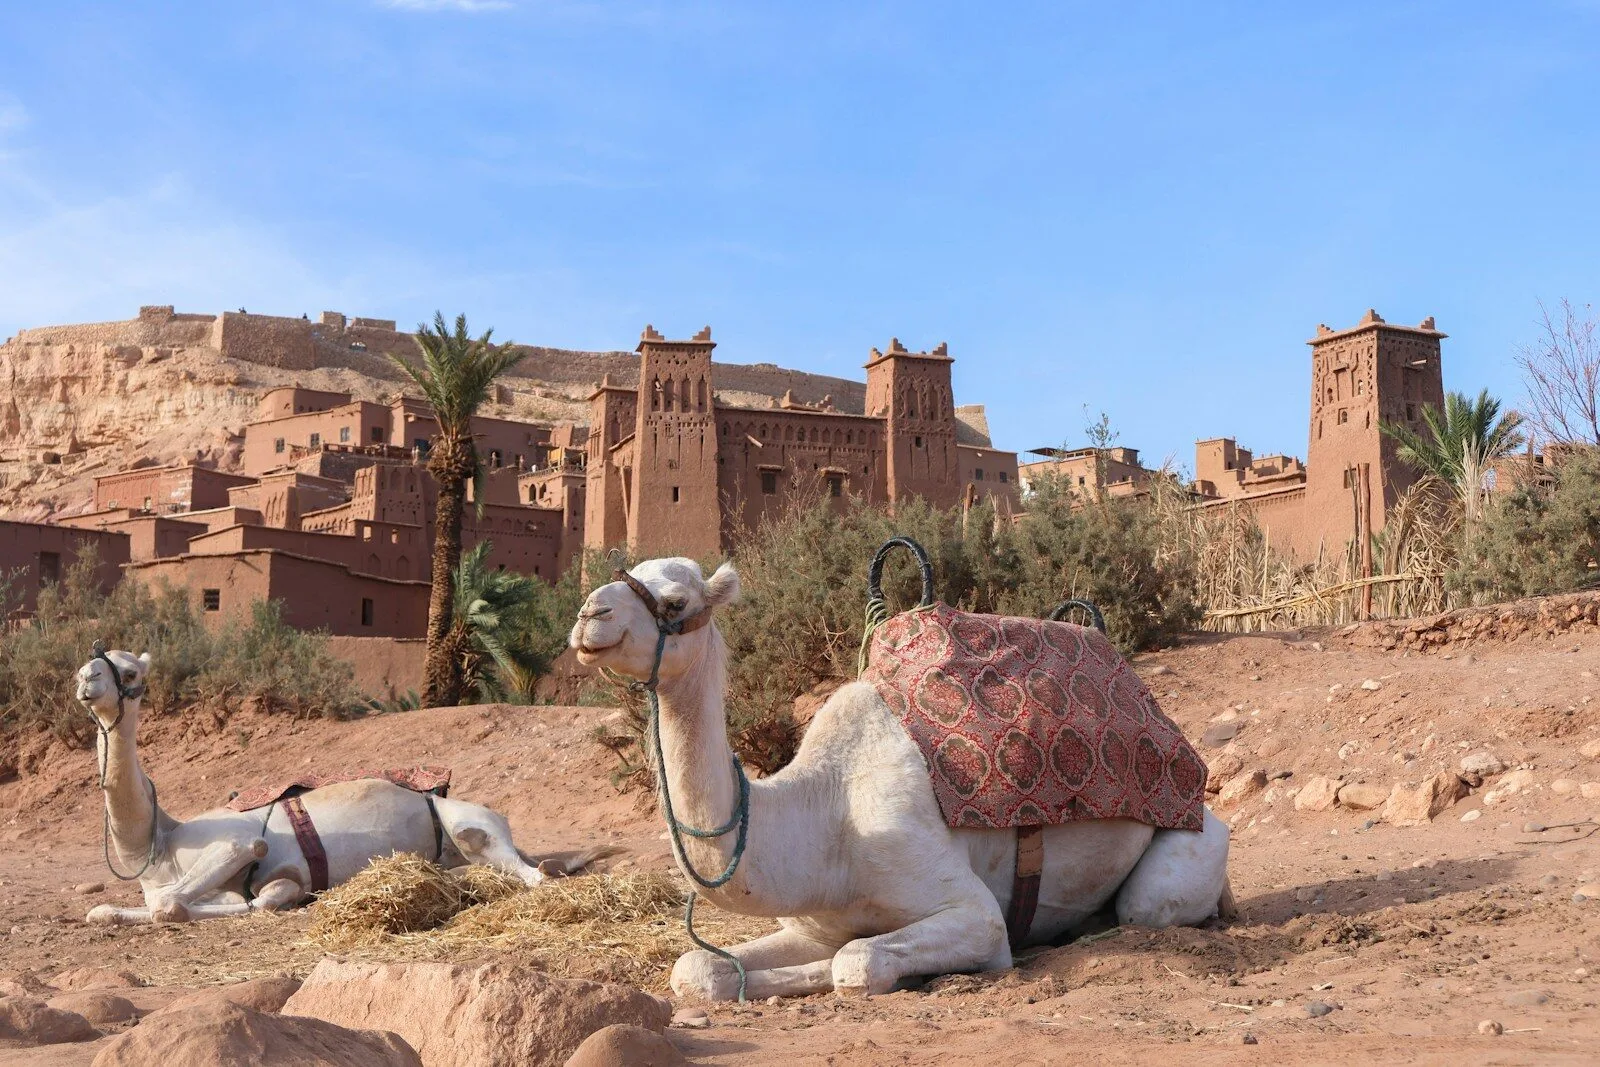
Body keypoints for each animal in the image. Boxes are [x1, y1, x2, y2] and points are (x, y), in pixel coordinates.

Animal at [76, 646, 599, 925]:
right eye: (91, 664)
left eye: (130, 671)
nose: (86, 677)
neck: (157, 844)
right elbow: (116, 909)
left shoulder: (238, 842)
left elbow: (177, 902)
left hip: (472, 824)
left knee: (524, 868)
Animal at [571, 557, 1233, 1001]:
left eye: (675, 601)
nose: (588, 616)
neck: (823, 821)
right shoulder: (812, 920)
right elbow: (696, 969)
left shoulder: (973, 912)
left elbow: (855, 963)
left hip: (1184, 851)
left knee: (1150, 905)